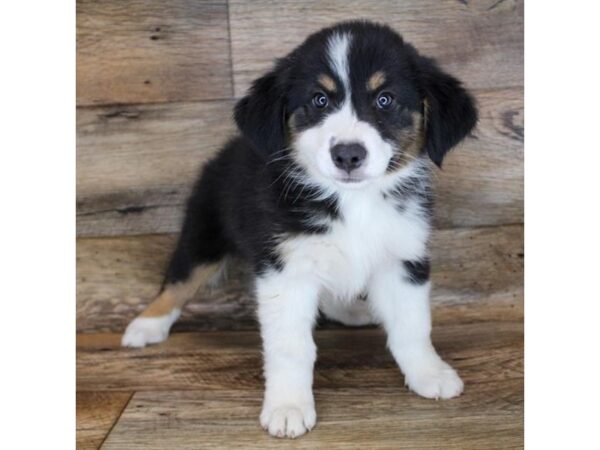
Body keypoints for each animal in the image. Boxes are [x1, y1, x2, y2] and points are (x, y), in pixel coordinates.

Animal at [122, 19, 478, 438]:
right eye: (319, 100)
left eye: (385, 99)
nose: (348, 154)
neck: (353, 203)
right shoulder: (285, 269)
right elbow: (291, 347)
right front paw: (288, 407)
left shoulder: (403, 259)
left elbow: (413, 326)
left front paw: (429, 374)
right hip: (203, 234)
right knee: (177, 281)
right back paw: (145, 326)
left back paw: (353, 311)